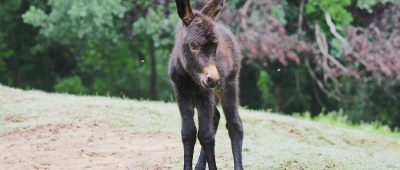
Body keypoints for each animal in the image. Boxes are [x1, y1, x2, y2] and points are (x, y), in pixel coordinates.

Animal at [169, 0, 244, 169]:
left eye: (215, 47)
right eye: (193, 45)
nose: (213, 79)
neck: (190, 79)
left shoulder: (205, 95)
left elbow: (206, 136)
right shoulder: (181, 93)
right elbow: (188, 133)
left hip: (229, 85)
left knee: (234, 125)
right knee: (216, 117)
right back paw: (199, 166)